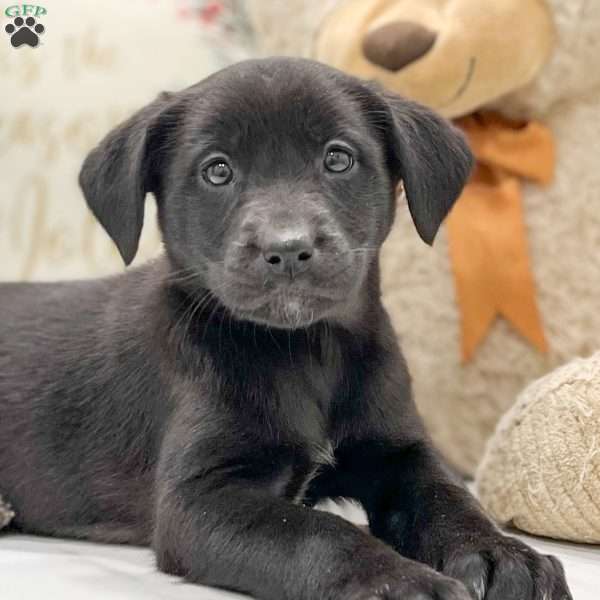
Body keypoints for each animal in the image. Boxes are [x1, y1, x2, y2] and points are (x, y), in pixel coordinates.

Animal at [1, 59, 572, 600]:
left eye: (338, 158)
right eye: (217, 171)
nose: (289, 248)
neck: (307, 351)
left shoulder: (400, 452)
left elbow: (450, 497)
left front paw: (501, 554)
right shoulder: (199, 497)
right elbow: (314, 531)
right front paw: (396, 580)